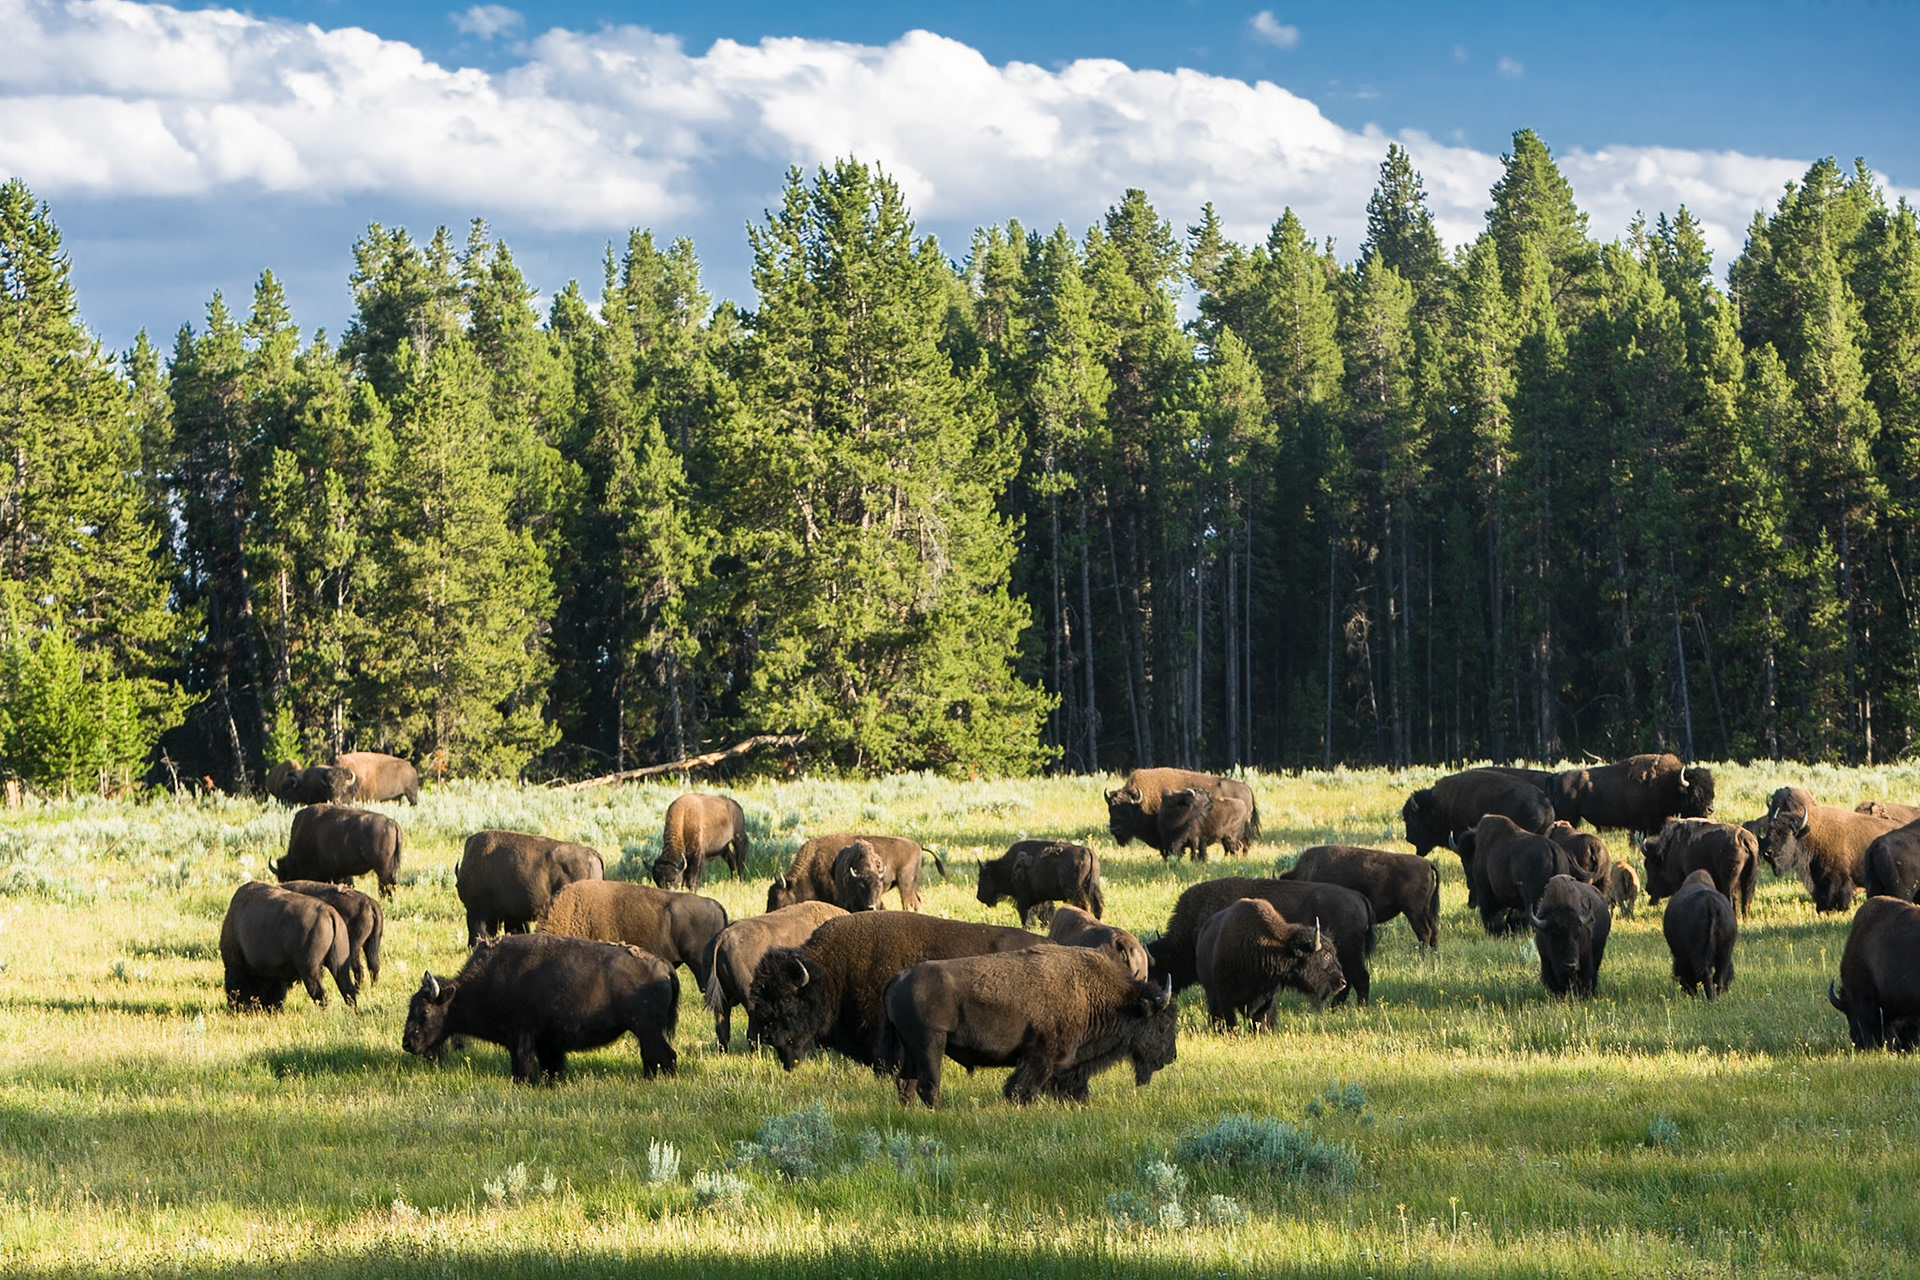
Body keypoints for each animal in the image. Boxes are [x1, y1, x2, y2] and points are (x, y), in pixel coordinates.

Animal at [220, 881, 357, 1011]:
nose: (234, 1006)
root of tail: (329, 912)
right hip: (339, 966)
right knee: (348, 991)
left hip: (310, 971)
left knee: (320, 995)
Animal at [402, 934, 678, 1082]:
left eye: (424, 1011)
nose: (407, 1043)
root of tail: (664, 966)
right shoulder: (548, 1044)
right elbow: (550, 1066)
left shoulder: (521, 1040)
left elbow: (523, 1066)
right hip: (647, 1032)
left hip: (647, 1031)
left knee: (663, 1056)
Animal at [880, 944, 1177, 1107]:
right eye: (1163, 1024)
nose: (1171, 1056)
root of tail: (898, 977)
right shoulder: (1040, 1058)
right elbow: (1021, 1090)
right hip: (931, 1044)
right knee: (928, 1085)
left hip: (911, 1049)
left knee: (906, 1083)